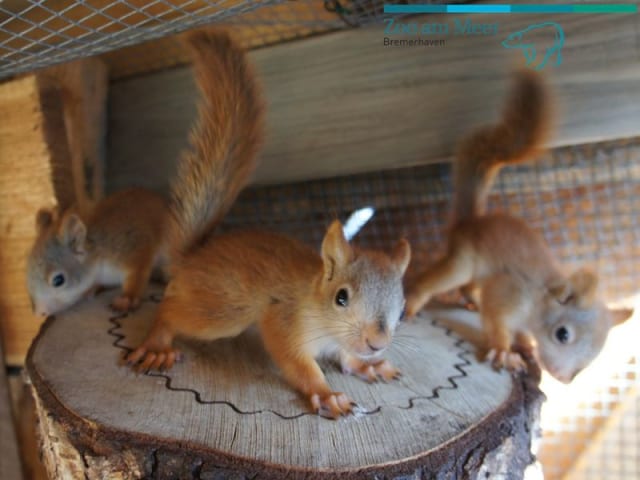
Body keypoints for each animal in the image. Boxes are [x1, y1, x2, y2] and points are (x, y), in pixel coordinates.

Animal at [124, 30, 411, 419]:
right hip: (225, 310)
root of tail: (192, 257)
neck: (317, 306)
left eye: (403, 305)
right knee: (170, 310)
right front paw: (326, 393)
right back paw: (157, 344)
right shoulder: (284, 320)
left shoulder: (340, 343)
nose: (377, 343)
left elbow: (348, 358)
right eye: (341, 297)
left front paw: (369, 365)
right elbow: (297, 362)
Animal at [405, 70, 633, 383]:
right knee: (440, 280)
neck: (538, 303)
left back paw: (471, 300)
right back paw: (413, 303)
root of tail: (472, 220)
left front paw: (525, 346)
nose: (562, 378)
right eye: (562, 334)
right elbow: (497, 322)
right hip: (463, 259)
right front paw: (504, 351)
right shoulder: (509, 293)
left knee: (470, 286)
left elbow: (521, 334)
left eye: (596, 354)